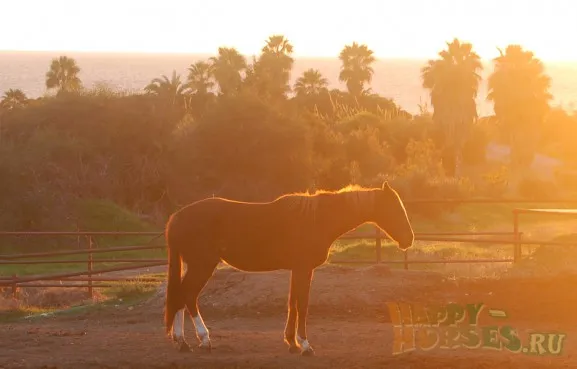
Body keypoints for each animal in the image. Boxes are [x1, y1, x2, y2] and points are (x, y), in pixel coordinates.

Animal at [164, 180, 412, 354]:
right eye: (396, 209)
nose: (409, 239)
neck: (317, 219)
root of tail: (177, 217)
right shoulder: (304, 269)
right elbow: (302, 305)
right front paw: (305, 345)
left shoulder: (297, 270)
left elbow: (292, 303)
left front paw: (292, 342)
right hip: (202, 265)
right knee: (187, 296)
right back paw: (203, 339)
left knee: (180, 297)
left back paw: (181, 341)